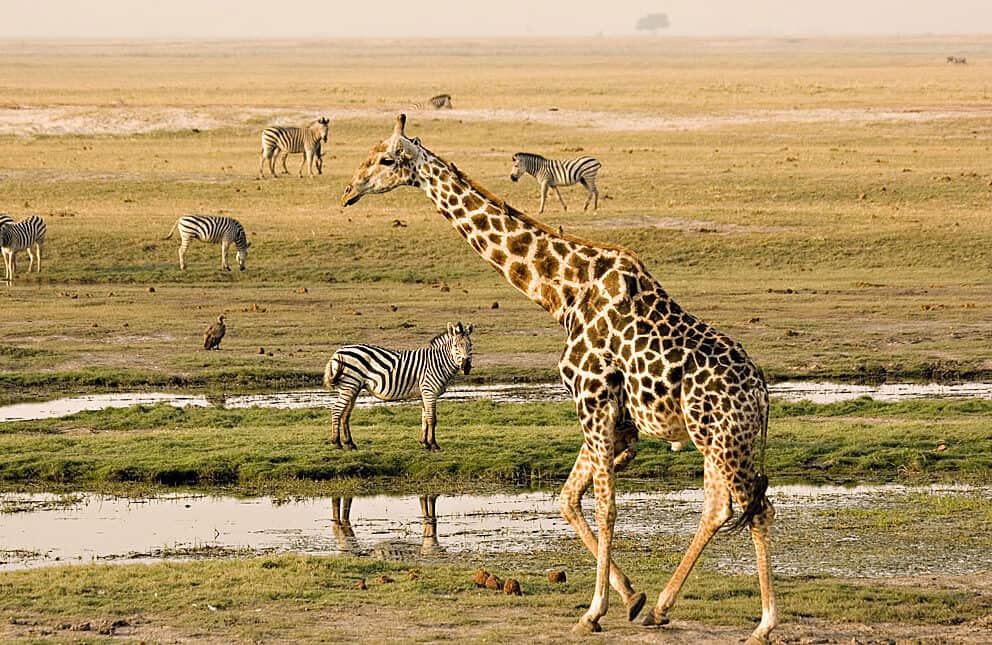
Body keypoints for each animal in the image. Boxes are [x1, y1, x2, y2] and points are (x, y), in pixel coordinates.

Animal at [323, 321, 474, 451]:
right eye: (456, 346)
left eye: (470, 345)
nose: (466, 366)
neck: (438, 362)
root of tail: (338, 352)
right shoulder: (429, 391)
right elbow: (432, 419)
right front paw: (434, 445)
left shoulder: (425, 393)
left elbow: (424, 418)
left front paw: (424, 443)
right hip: (349, 385)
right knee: (336, 410)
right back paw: (336, 442)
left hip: (353, 387)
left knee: (345, 414)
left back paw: (350, 443)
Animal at [341, 115, 776, 643]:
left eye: (385, 159)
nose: (349, 191)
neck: (563, 294)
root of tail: (761, 393)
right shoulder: (611, 418)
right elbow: (568, 500)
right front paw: (631, 599)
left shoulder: (594, 400)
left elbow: (605, 507)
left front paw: (593, 611)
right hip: (713, 440)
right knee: (720, 508)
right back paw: (662, 608)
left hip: (726, 440)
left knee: (756, 508)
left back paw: (764, 624)